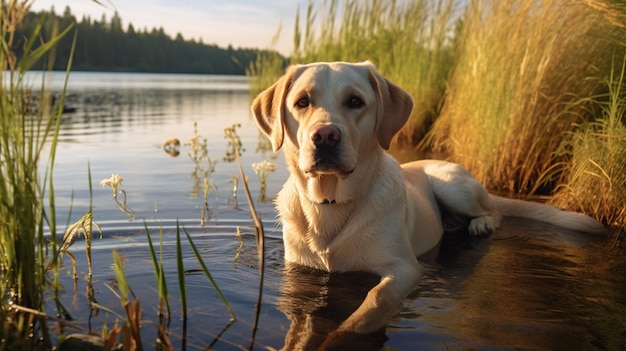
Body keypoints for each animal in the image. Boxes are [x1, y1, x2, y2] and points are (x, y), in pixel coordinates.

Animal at [250, 62, 604, 336]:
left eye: (354, 101)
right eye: (302, 102)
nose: (325, 135)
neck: (331, 203)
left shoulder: (404, 268)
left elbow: (375, 299)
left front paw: (344, 332)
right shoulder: (298, 267)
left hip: (453, 187)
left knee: (494, 211)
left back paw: (481, 225)